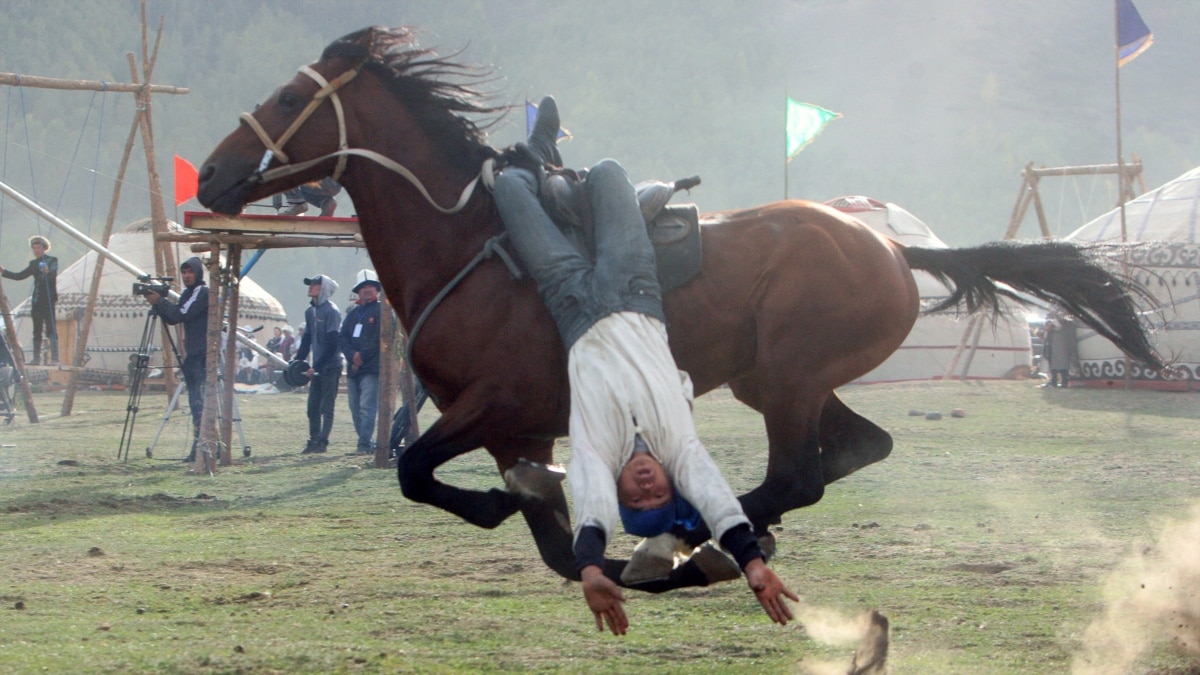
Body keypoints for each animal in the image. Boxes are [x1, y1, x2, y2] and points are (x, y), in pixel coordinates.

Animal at [196, 28, 1161, 590]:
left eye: (291, 100)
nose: (210, 175)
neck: (470, 240)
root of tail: (892, 248)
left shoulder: (497, 406)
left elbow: (412, 468)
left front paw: (551, 524)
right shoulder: (517, 429)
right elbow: (544, 538)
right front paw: (536, 519)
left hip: (787, 376)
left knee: (800, 474)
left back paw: (701, 540)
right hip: (780, 381)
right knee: (857, 449)